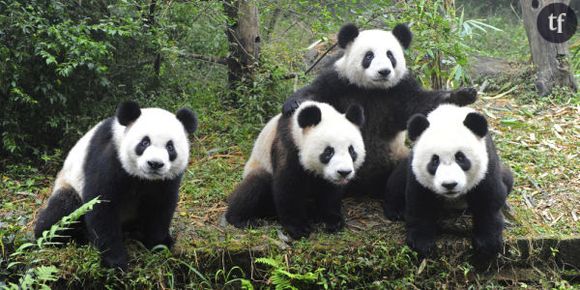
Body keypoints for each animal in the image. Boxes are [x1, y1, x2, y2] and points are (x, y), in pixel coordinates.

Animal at [34, 101, 197, 270]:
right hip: (69, 183)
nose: (155, 164)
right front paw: (115, 261)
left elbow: (160, 206)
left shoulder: (167, 180)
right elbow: (101, 205)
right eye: (144, 142)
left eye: (170, 147)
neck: (143, 178)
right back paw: (66, 237)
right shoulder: (109, 157)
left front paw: (159, 244)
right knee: (63, 210)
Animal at [225, 101, 364, 239]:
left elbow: (330, 191)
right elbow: (288, 187)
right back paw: (241, 219)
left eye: (351, 151)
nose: (344, 172)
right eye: (328, 151)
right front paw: (299, 228)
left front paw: (332, 221)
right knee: (255, 184)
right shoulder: (287, 145)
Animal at [280, 23, 476, 197]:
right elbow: (316, 93)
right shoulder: (339, 82)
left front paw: (463, 95)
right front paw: (294, 104)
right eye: (369, 56)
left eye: (390, 55)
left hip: (396, 156)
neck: (373, 89)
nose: (384, 72)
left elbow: (421, 105)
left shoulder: (400, 89)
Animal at [386, 104, 512, 266]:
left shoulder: (487, 164)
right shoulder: (417, 172)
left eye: (460, 157)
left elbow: (489, 199)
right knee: (397, 181)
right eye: (434, 160)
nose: (449, 185)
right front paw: (421, 242)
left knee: (508, 179)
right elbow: (419, 202)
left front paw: (487, 245)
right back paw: (395, 211)